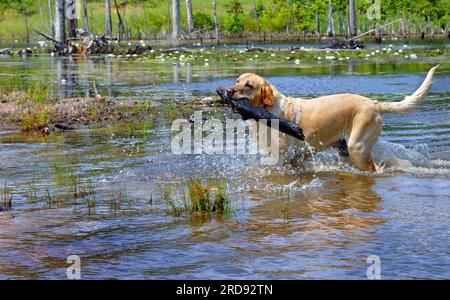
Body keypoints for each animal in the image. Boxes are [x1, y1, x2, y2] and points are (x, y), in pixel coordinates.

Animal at [227, 66, 438, 172]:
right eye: (237, 81)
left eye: (248, 86)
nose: (228, 91)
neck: (268, 112)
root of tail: (374, 103)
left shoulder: (280, 156)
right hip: (346, 150)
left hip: (357, 148)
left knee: (374, 168)